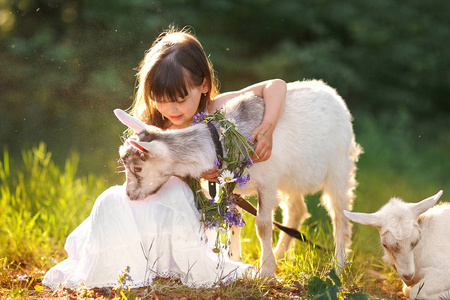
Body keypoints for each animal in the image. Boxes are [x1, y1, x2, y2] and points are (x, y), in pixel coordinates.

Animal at [115, 79, 362, 276]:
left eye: (138, 168)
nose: (130, 194)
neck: (223, 141)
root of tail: (331, 92)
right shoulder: (230, 185)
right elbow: (234, 218)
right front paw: (235, 259)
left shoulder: (267, 183)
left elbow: (263, 225)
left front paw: (266, 271)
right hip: (290, 179)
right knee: (297, 210)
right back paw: (281, 254)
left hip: (339, 167)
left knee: (340, 214)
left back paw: (338, 264)